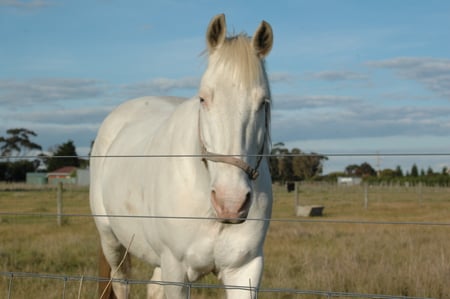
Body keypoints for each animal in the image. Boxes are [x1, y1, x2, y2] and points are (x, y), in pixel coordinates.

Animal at [90, 14, 274, 299]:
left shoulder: (245, 270)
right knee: (121, 282)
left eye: (263, 102)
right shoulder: (176, 270)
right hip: (111, 240)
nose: (230, 202)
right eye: (203, 98)